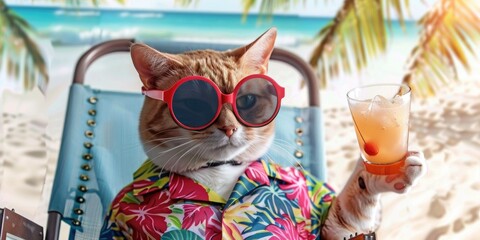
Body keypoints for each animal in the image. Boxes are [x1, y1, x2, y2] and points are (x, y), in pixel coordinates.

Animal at [102, 27, 428, 238]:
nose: (230, 127)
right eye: (194, 106)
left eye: (246, 100)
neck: (219, 171)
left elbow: (351, 204)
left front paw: (381, 173)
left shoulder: (330, 225)